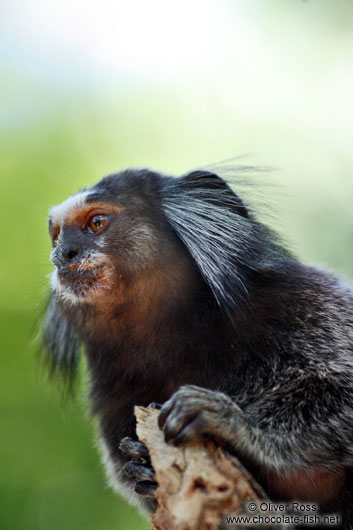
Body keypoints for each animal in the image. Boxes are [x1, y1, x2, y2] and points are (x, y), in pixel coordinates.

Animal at [42, 168, 352, 524]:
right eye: (57, 236)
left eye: (96, 222)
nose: (61, 255)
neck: (179, 329)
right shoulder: (113, 385)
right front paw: (145, 468)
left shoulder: (304, 301)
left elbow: (340, 391)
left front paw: (234, 423)